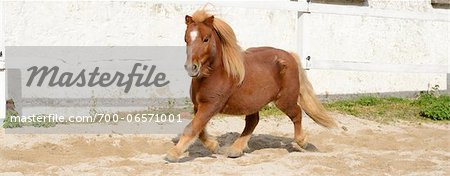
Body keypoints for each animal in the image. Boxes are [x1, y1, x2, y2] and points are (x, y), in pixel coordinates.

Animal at [167, 8, 336, 162]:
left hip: (285, 100)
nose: (191, 67)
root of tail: (290, 55)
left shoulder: (210, 105)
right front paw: (214, 146)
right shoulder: (199, 106)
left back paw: (302, 142)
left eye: (206, 39)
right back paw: (235, 149)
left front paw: (172, 154)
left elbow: (192, 128)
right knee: (253, 122)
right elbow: (199, 130)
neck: (217, 73)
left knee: (297, 113)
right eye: (186, 39)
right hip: (253, 103)